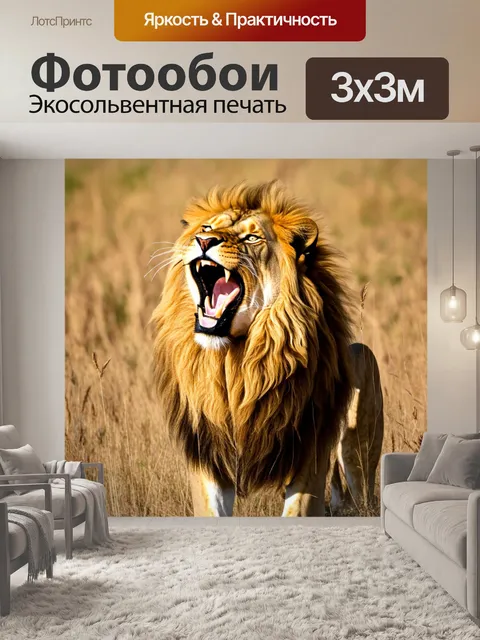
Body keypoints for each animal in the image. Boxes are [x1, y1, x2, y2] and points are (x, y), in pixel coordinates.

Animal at [151, 181, 383, 516]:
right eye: (207, 227)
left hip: (361, 396)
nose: (204, 240)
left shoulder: (309, 454)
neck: (237, 361)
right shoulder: (207, 454)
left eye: (252, 237)